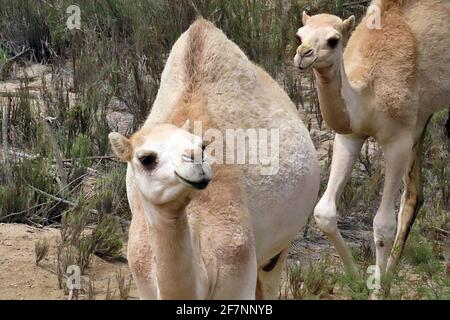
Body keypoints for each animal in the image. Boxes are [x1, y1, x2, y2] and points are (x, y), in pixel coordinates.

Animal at [109, 18, 320, 300]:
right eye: (146, 158)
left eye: (201, 145)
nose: (196, 164)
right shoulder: (143, 279)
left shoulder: (237, 274)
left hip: (279, 247)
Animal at [294, 0, 450, 278]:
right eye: (299, 35)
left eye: (333, 40)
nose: (303, 54)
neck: (368, 92)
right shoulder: (350, 135)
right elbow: (324, 213)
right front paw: (357, 279)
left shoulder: (397, 140)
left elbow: (383, 224)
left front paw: (376, 284)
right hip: (420, 118)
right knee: (413, 193)